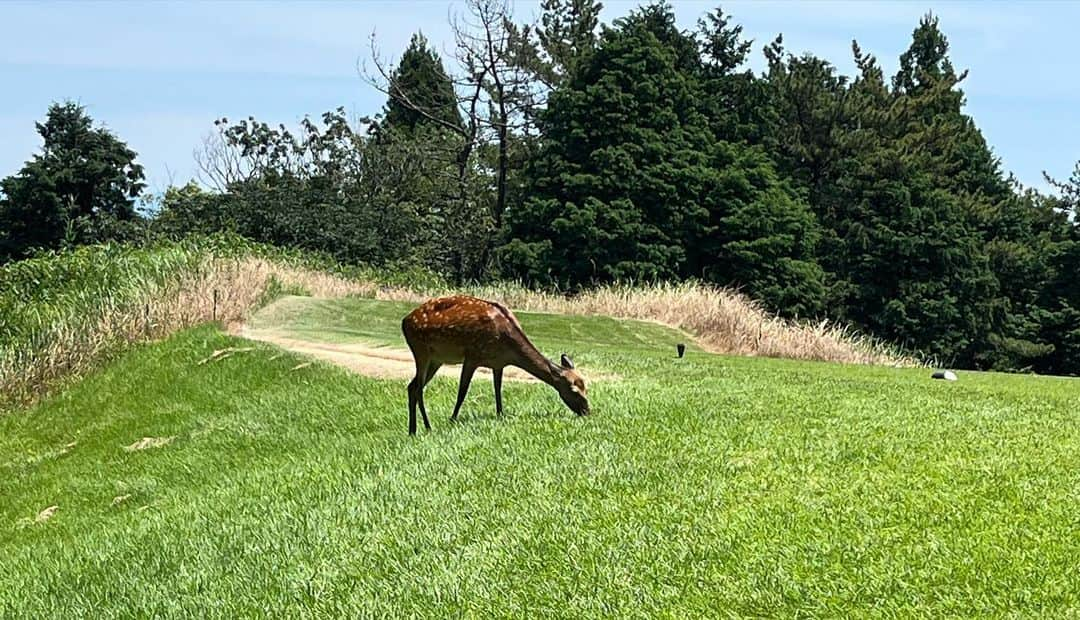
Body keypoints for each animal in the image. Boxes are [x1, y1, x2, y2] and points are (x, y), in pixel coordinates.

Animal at [401, 293, 591, 434]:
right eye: (574, 391)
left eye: (586, 388)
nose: (587, 412)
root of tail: (404, 322)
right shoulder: (472, 355)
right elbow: (462, 391)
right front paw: (452, 419)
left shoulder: (499, 363)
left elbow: (498, 390)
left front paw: (500, 415)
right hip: (420, 349)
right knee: (418, 388)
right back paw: (427, 426)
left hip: (436, 359)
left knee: (412, 386)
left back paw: (413, 430)